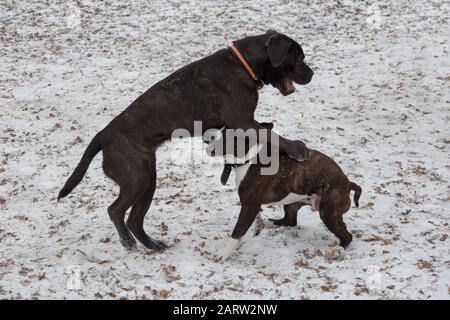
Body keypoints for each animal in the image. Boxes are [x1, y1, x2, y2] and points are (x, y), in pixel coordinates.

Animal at [59, 30, 312, 251]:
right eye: (299, 58)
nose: (311, 74)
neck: (243, 65)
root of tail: (102, 135)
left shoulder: (240, 125)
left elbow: (266, 134)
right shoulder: (243, 121)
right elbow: (272, 135)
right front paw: (297, 148)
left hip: (148, 180)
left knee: (134, 220)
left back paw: (152, 245)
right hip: (136, 179)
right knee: (115, 210)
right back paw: (127, 241)